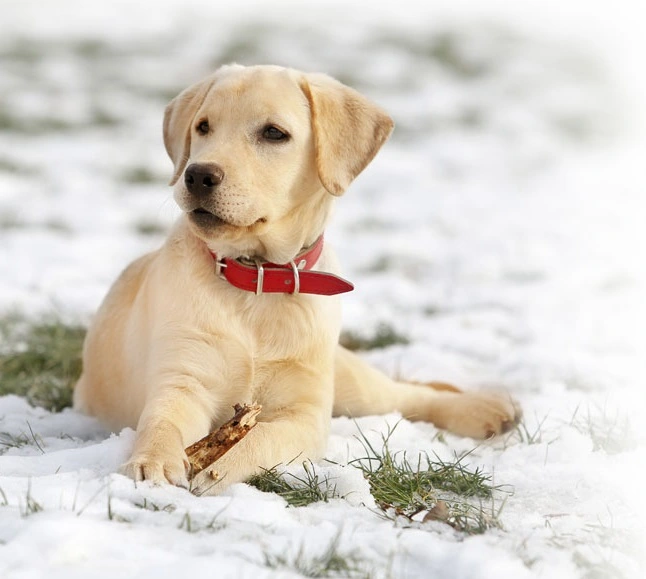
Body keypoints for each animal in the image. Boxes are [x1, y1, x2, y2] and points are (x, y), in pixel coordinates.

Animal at [74, 65, 520, 496]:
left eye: (274, 133)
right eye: (202, 127)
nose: (197, 175)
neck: (257, 278)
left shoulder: (305, 414)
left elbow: (262, 437)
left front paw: (220, 467)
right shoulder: (181, 380)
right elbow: (162, 421)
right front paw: (153, 461)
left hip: (348, 381)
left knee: (410, 396)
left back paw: (486, 410)